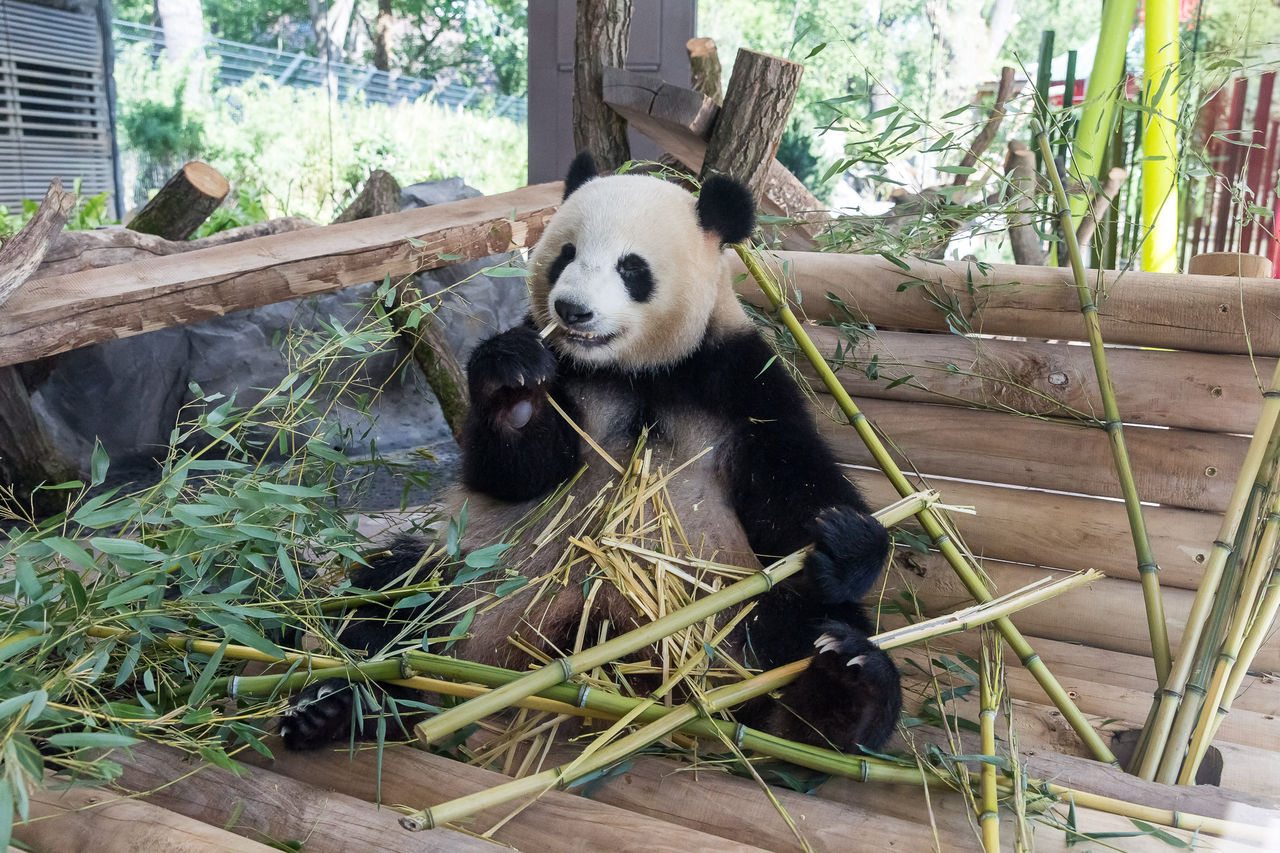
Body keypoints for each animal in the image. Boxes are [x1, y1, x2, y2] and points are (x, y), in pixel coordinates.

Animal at [281, 153, 902, 755]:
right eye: (565, 255)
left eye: (632, 268)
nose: (572, 311)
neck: (632, 371)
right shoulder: (568, 376)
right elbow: (515, 474)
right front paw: (514, 388)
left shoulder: (738, 381)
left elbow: (793, 491)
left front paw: (845, 540)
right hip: (472, 574)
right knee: (397, 595)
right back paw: (338, 704)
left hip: (732, 620)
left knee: (801, 627)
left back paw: (842, 695)